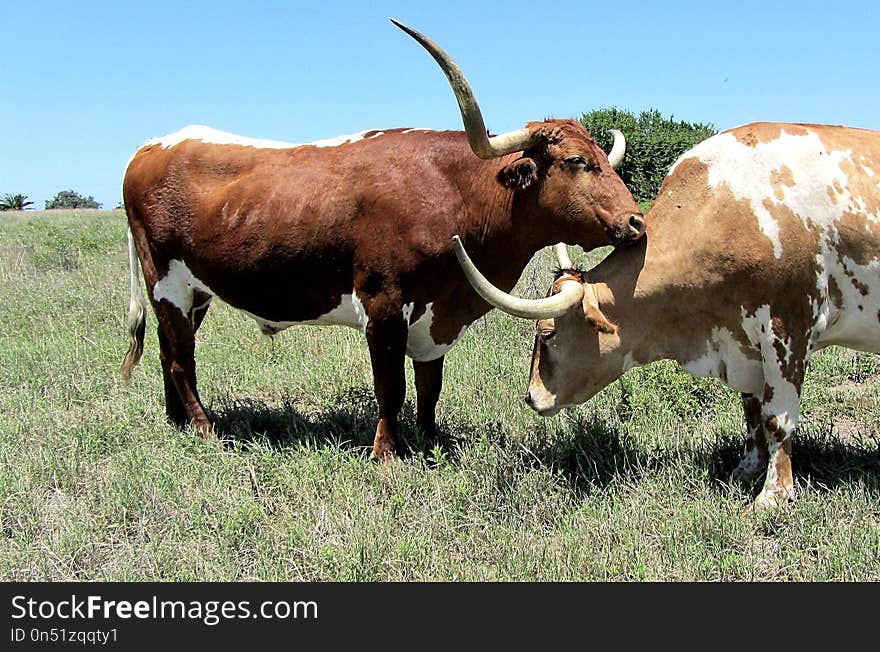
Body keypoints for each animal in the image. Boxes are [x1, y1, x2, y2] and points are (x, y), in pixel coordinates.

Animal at [118, 20, 648, 458]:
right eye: (576, 161)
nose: (637, 222)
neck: (454, 192)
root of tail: (149, 148)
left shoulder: (437, 316)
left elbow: (430, 386)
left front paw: (432, 442)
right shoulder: (383, 303)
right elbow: (390, 386)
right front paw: (387, 454)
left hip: (194, 290)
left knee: (169, 348)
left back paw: (177, 421)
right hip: (165, 280)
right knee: (180, 357)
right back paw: (205, 429)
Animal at [454, 121, 880, 510]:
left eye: (548, 333)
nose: (531, 396)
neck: (731, 208)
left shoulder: (788, 327)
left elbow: (777, 419)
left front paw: (773, 496)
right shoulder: (743, 339)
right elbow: (752, 413)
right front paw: (744, 471)